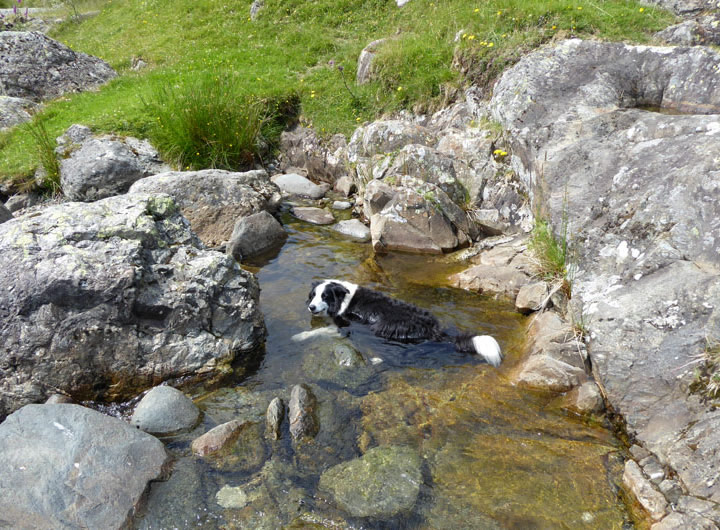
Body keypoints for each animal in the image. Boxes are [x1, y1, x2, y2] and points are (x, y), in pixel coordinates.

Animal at [306, 278, 504, 366]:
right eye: (313, 295)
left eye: (325, 296)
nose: (311, 307)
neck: (343, 297)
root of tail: (434, 330)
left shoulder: (340, 322)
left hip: (383, 327)